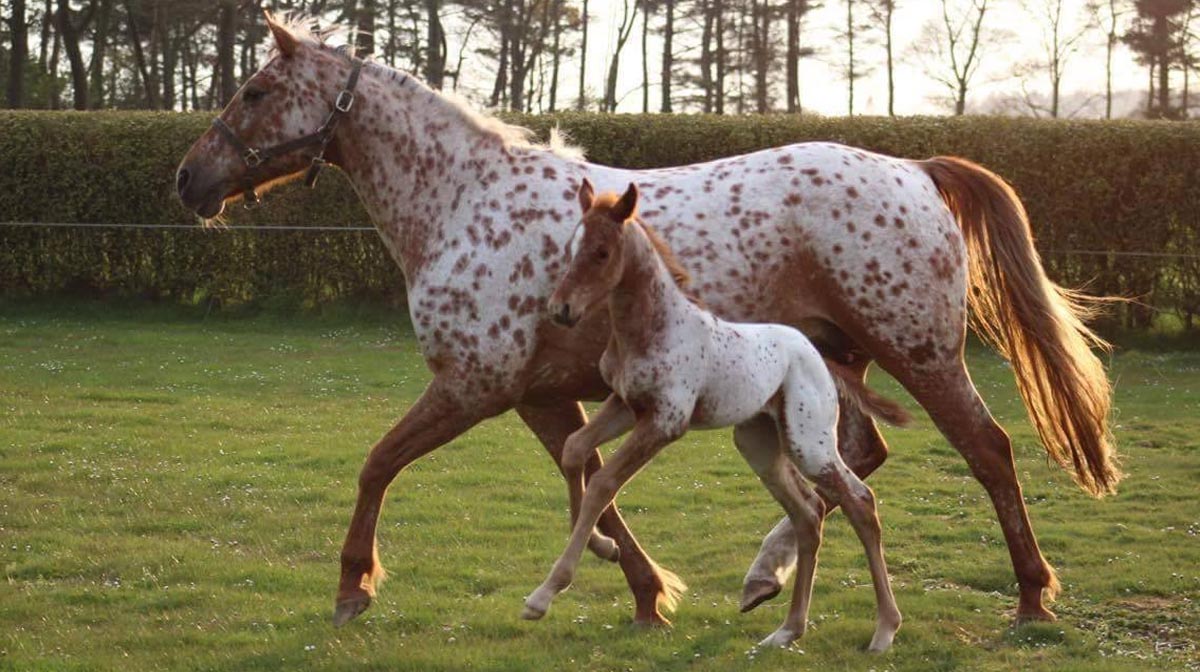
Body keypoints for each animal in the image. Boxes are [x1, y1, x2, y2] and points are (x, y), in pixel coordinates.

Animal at [525, 181, 907, 652]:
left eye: (601, 252)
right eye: (570, 246)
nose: (560, 309)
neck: (652, 329)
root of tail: (815, 353)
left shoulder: (665, 421)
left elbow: (602, 482)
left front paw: (543, 596)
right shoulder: (625, 405)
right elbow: (575, 449)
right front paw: (604, 546)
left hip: (809, 443)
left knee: (860, 502)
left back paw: (884, 628)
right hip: (760, 444)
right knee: (809, 513)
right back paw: (787, 630)